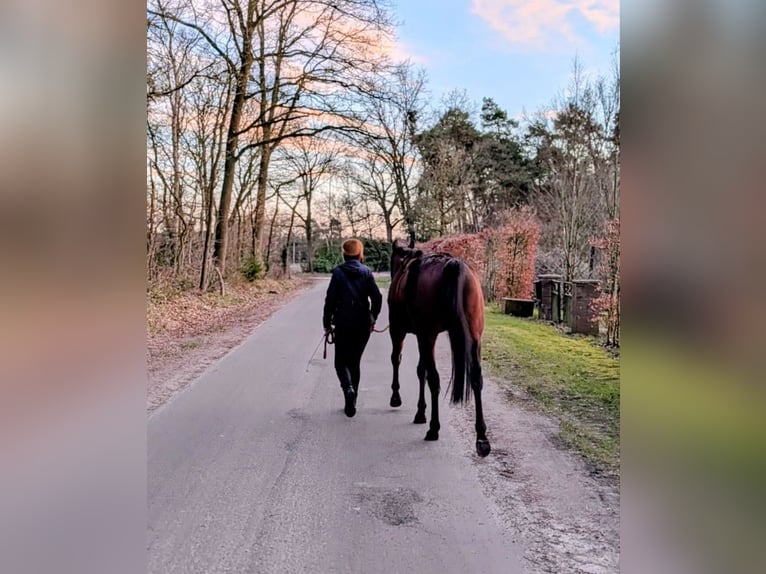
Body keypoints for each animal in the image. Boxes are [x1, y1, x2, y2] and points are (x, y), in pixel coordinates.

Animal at [387, 236, 491, 457]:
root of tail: (453, 265)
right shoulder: (423, 337)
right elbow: (422, 370)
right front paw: (420, 411)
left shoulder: (402, 331)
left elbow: (402, 362)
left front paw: (399, 399)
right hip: (474, 337)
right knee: (476, 379)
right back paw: (481, 437)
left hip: (426, 334)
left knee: (433, 379)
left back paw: (434, 427)